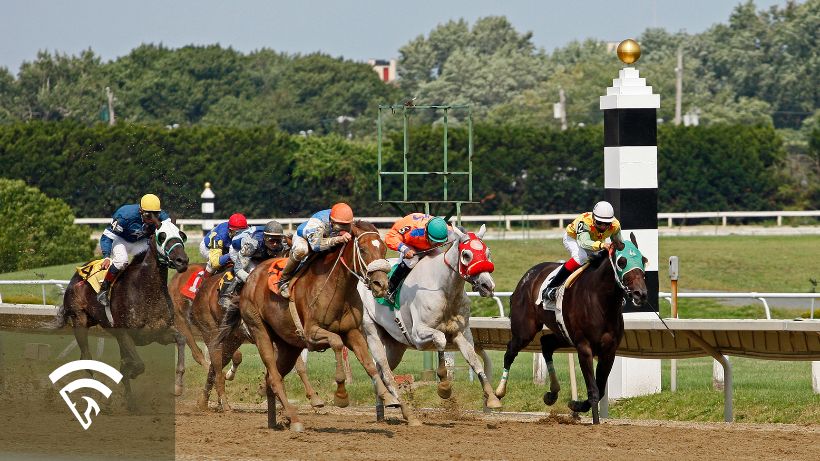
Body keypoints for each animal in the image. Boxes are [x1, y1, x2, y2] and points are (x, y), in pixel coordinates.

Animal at [52, 220, 190, 410]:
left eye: (181, 235)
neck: (146, 289)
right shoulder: (125, 333)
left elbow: (181, 339)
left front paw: (177, 387)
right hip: (79, 320)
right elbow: (136, 365)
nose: (182, 260)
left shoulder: (158, 333)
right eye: (161, 236)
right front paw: (128, 374)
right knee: (86, 358)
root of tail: (77, 276)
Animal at [219, 219, 392, 432]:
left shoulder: (352, 332)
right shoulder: (311, 333)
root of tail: (249, 280)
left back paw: (275, 421)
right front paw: (341, 395)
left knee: (271, 378)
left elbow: (369, 365)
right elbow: (336, 342)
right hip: (260, 331)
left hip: (288, 346)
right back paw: (294, 419)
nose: (380, 284)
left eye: (383, 249)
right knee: (274, 377)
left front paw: (388, 396)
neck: (336, 287)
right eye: (363, 248)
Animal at [358, 224, 500, 424]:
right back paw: (406, 414)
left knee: (380, 371)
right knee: (386, 372)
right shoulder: (418, 335)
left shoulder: (461, 333)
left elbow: (474, 360)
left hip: (395, 346)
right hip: (372, 333)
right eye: (466, 254)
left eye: (488, 252)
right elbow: (440, 339)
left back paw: (383, 409)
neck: (444, 288)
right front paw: (444, 385)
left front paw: (492, 397)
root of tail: (365, 279)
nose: (488, 286)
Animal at [494, 232, 648, 422]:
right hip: (525, 330)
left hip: (563, 334)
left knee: (546, 344)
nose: (640, 294)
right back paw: (498, 393)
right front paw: (594, 420)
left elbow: (600, 389)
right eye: (622, 261)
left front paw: (576, 405)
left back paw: (552, 393)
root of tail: (528, 276)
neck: (601, 301)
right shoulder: (584, 347)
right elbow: (593, 390)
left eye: (643, 259)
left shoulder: (609, 351)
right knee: (510, 351)